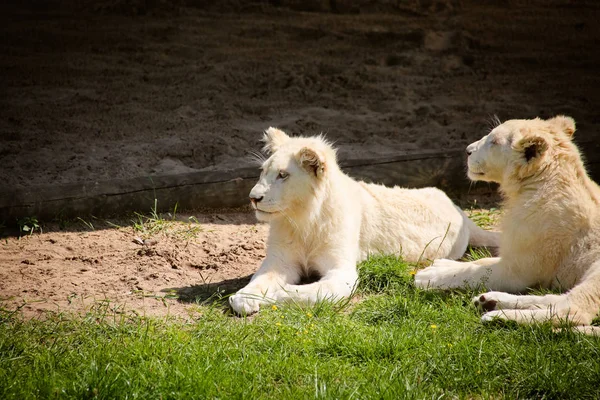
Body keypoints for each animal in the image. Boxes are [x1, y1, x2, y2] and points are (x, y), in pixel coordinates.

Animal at [227, 126, 500, 314]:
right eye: (263, 171)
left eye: (283, 175)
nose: (253, 198)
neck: (302, 220)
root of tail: (460, 212)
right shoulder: (280, 261)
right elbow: (259, 280)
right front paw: (245, 297)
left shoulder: (342, 271)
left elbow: (312, 292)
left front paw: (271, 296)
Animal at [414, 117, 600, 332]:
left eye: (494, 142)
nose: (468, 150)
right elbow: (482, 261)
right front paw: (443, 264)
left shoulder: (521, 270)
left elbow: (476, 273)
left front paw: (429, 276)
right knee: (554, 299)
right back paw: (489, 301)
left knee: (572, 309)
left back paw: (497, 317)